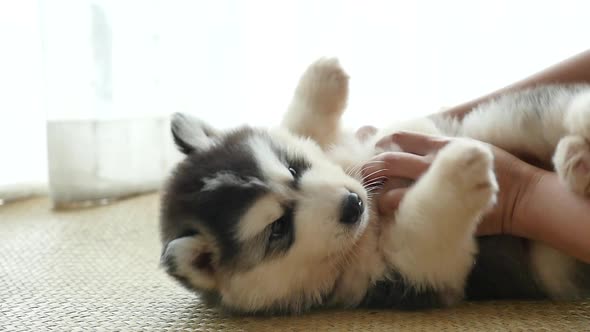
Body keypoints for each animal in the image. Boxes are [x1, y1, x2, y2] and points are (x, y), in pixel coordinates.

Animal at [158, 57, 590, 314]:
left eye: (293, 168)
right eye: (278, 229)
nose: (353, 204)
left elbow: (303, 127)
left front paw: (322, 78)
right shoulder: (420, 274)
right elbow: (425, 224)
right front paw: (460, 168)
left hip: (493, 122)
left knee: (547, 112)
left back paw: (576, 150)